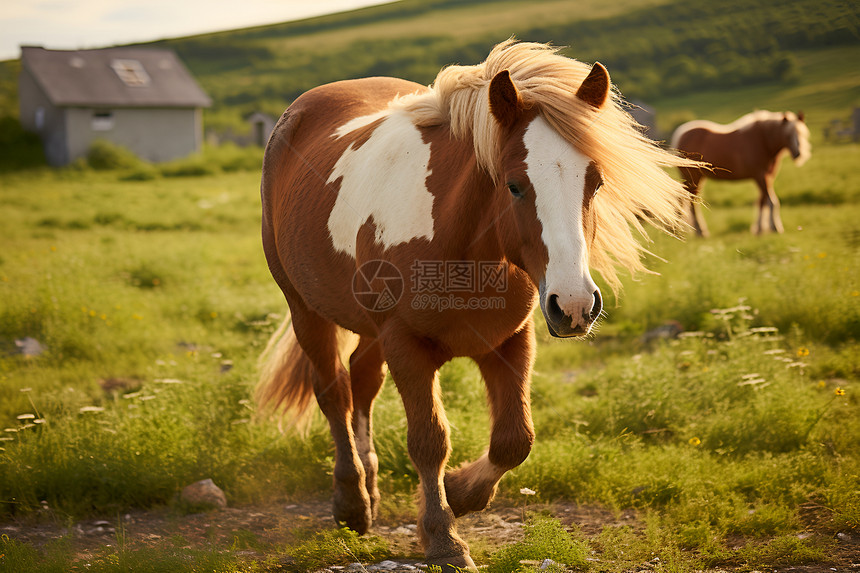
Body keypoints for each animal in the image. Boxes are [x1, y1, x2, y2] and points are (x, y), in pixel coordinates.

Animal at [255, 40, 700, 568]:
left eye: (595, 181)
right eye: (514, 184)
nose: (574, 304)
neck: (460, 246)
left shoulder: (509, 340)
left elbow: (515, 439)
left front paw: (460, 492)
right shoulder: (405, 344)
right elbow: (429, 440)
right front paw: (443, 538)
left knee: (362, 383)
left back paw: (372, 485)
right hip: (307, 311)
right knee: (335, 393)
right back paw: (352, 502)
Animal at [676, 109, 808, 237]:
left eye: (803, 134)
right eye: (788, 135)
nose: (799, 154)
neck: (763, 141)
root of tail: (680, 135)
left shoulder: (767, 177)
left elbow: (762, 202)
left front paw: (759, 229)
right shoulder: (761, 176)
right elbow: (772, 202)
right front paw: (775, 227)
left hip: (696, 178)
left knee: (683, 198)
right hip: (693, 177)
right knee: (691, 202)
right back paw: (700, 231)